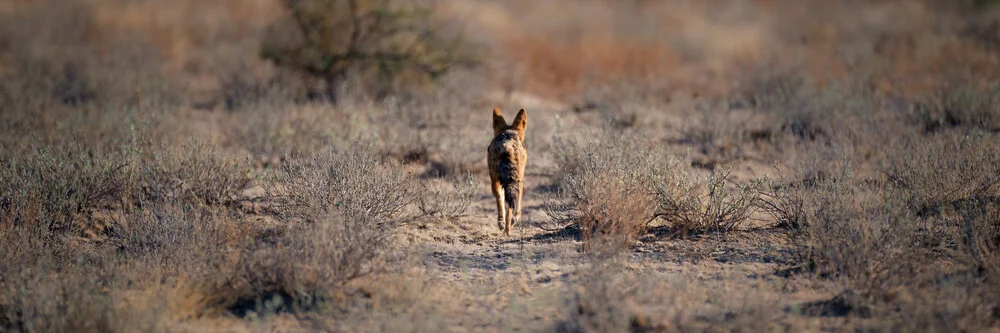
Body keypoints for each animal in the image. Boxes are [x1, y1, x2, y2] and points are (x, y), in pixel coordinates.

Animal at [486, 107, 528, 236]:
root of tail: (506, 146)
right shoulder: (521, 179)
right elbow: (519, 201)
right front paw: (516, 219)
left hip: (495, 180)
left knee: (502, 199)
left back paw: (503, 225)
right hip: (511, 179)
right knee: (508, 204)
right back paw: (508, 229)